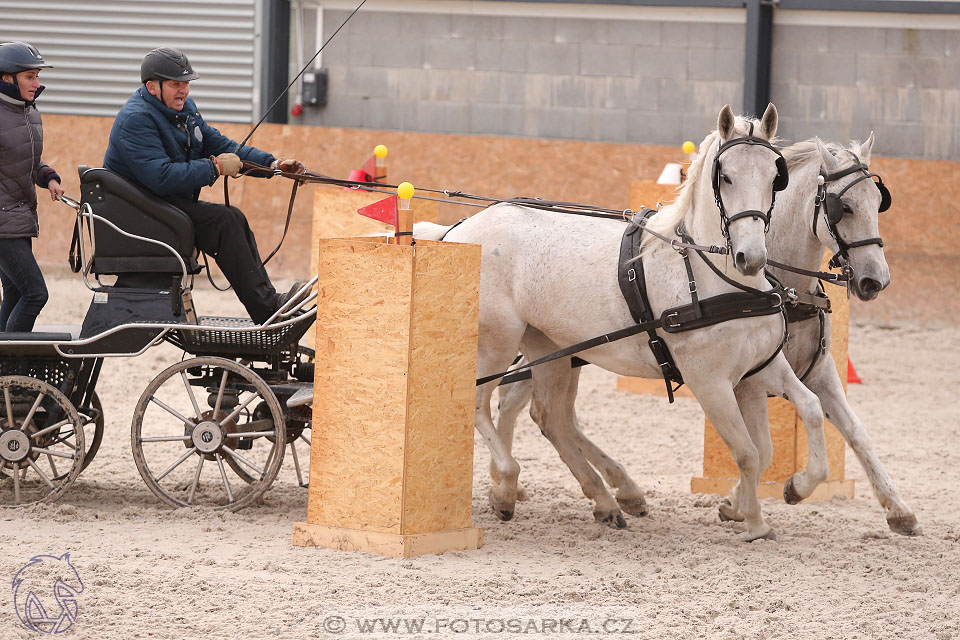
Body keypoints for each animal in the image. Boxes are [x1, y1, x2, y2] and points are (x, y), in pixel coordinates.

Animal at [416, 104, 828, 540]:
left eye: (774, 178)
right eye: (725, 176)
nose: (751, 257)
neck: (718, 280)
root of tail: (460, 229)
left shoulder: (759, 370)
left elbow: (807, 413)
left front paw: (795, 488)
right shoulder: (710, 384)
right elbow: (748, 453)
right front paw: (754, 522)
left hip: (549, 346)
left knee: (552, 418)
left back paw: (606, 499)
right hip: (497, 343)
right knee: (480, 403)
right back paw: (508, 486)